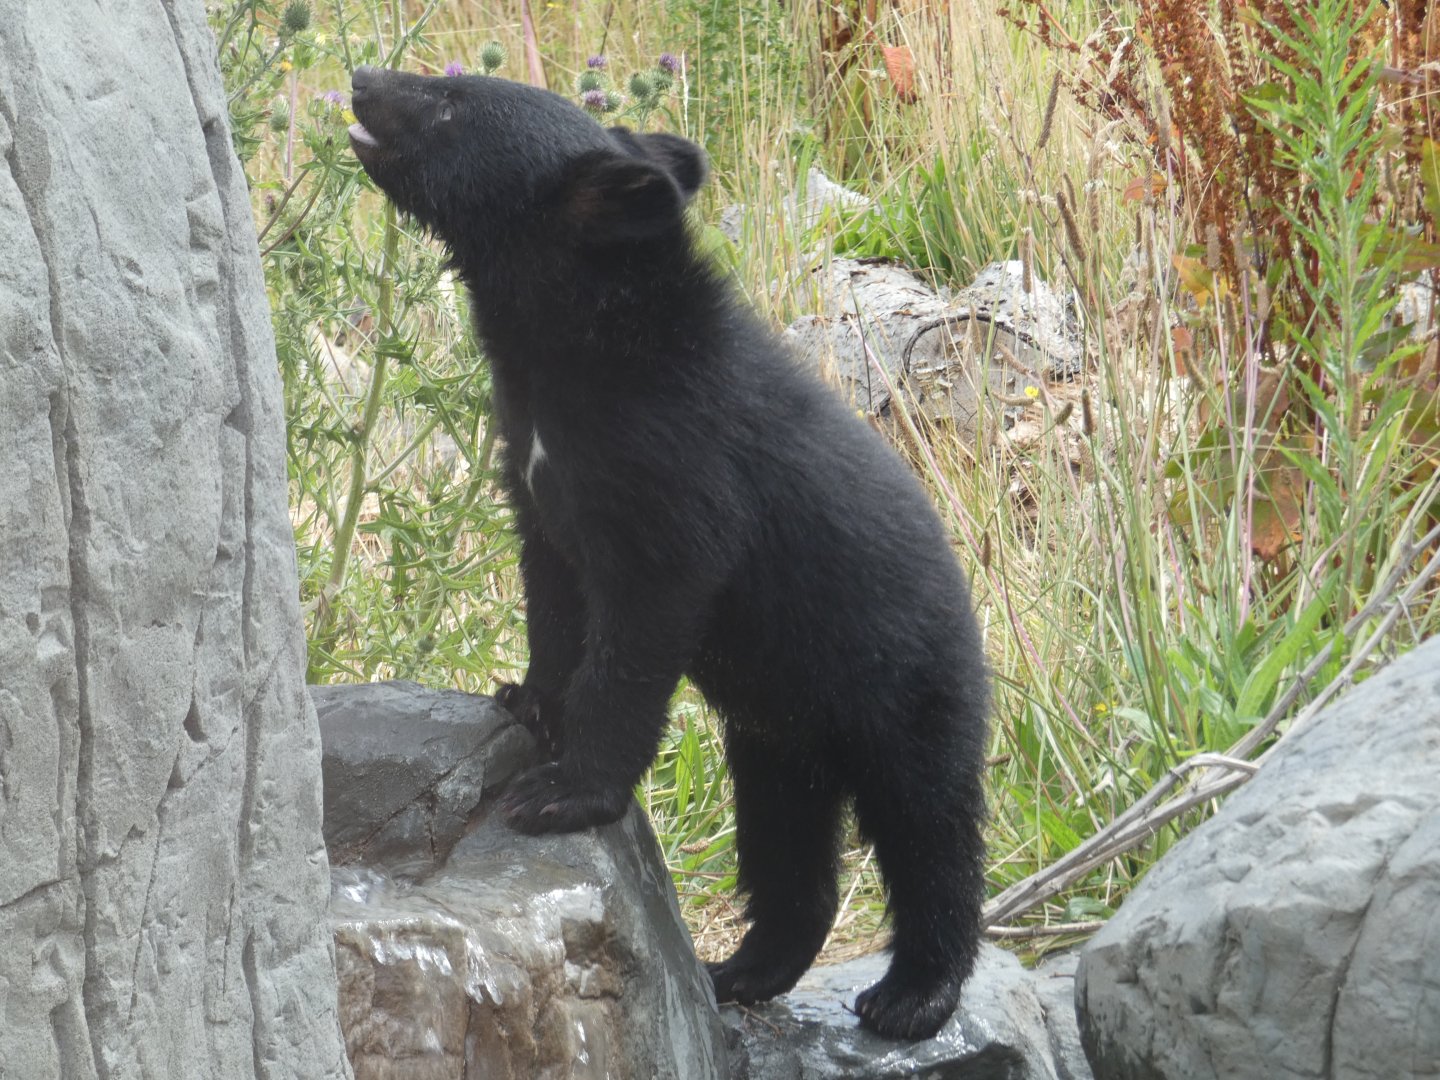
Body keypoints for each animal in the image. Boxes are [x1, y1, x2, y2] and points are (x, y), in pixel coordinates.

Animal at [347, 64, 990, 1041]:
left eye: (454, 100)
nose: (360, 79)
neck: (569, 346)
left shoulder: (678, 470)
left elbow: (641, 627)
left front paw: (560, 792)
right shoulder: (539, 471)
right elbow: (553, 592)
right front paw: (525, 699)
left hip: (909, 691)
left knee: (931, 831)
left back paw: (912, 995)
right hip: (779, 740)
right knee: (787, 848)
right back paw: (741, 971)